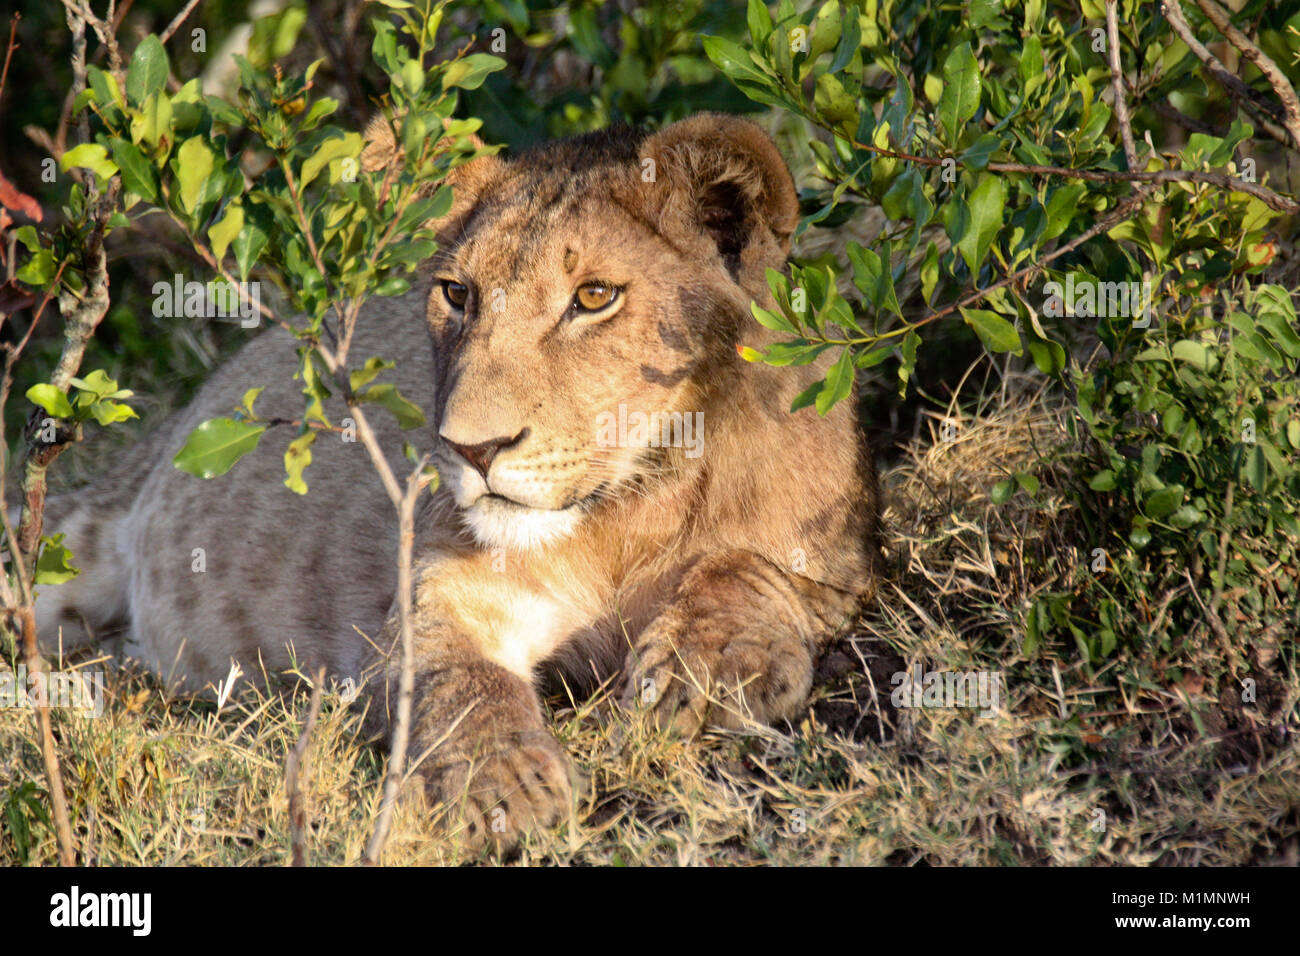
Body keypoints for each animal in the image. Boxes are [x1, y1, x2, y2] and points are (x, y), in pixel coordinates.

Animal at [34, 113, 880, 845]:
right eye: (457, 294)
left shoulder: (836, 559)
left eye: (594, 297)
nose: (473, 448)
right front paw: (501, 784)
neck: (626, 508)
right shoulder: (435, 595)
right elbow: (456, 680)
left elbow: (745, 569)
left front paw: (703, 676)